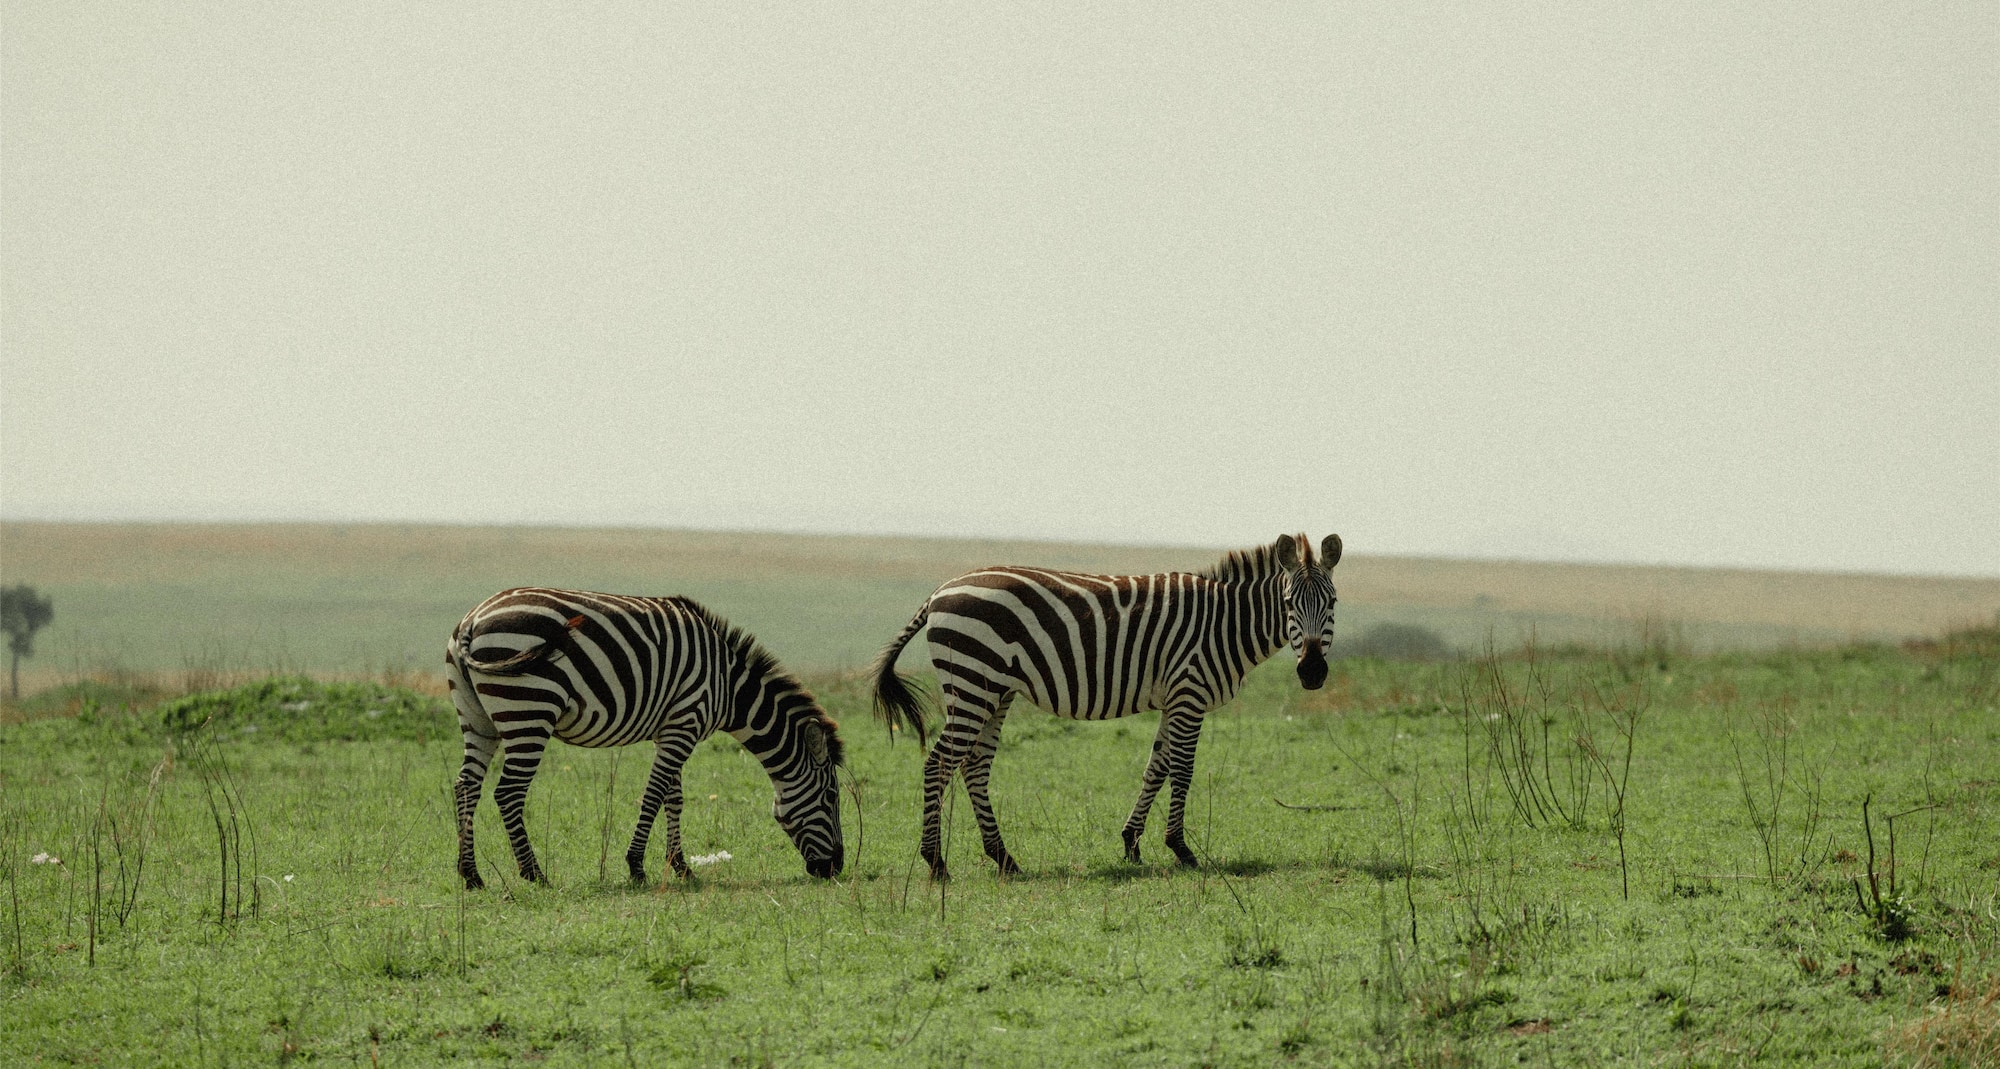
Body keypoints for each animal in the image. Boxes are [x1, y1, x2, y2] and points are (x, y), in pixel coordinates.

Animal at [446, 587, 845, 889]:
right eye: (831, 796)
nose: (835, 868)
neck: (728, 685)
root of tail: (472, 620)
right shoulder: (685, 721)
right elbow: (654, 794)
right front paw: (637, 866)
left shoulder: (673, 728)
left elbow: (674, 797)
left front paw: (681, 866)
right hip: (529, 709)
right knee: (508, 792)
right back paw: (534, 874)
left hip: (478, 719)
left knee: (466, 786)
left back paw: (471, 875)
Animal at [869, 532, 1340, 879]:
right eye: (1288, 604)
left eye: (1332, 603)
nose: (1313, 672)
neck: (1225, 624)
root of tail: (939, 591)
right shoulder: (1190, 692)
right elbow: (1183, 770)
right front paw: (1181, 849)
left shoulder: (1174, 699)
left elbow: (1157, 767)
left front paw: (1131, 841)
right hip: (972, 683)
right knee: (940, 763)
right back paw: (937, 863)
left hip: (993, 690)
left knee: (974, 766)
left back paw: (1004, 858)